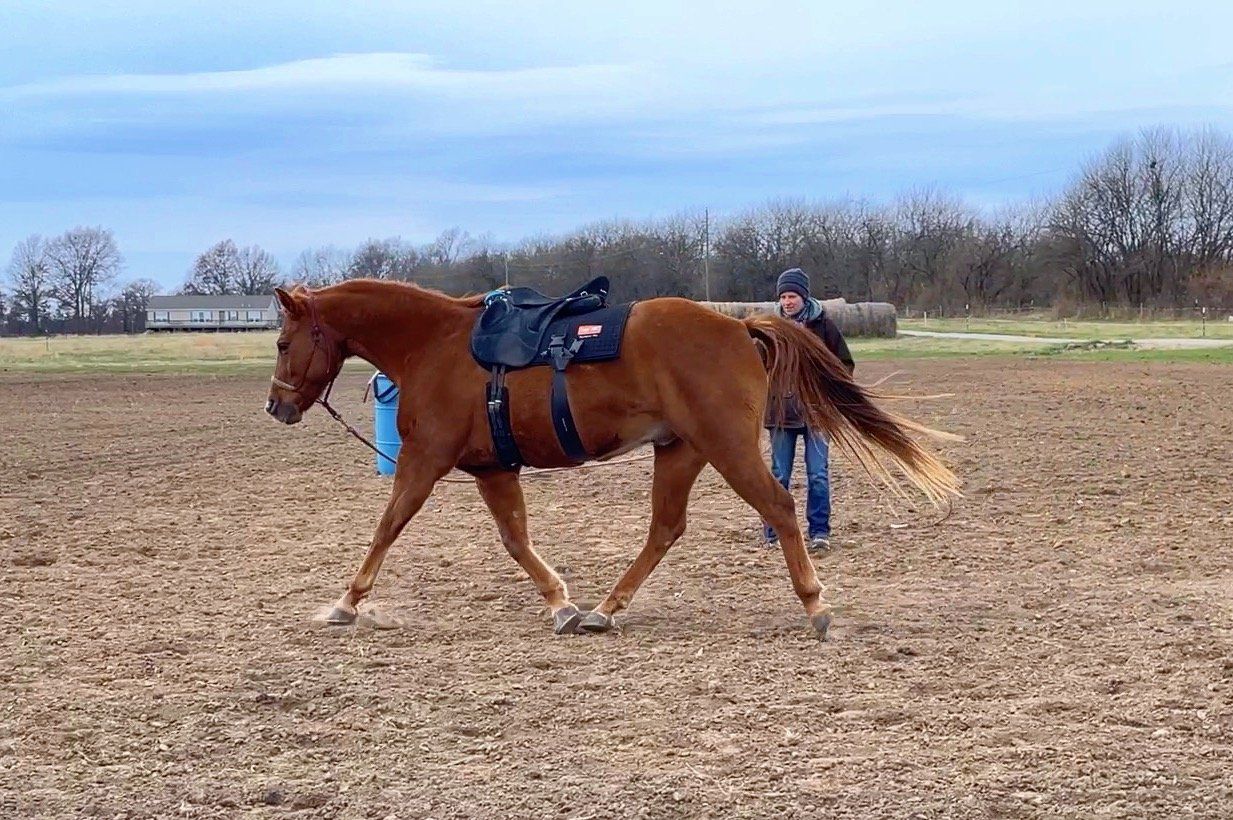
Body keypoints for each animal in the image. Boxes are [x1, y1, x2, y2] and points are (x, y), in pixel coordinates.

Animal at [264, 279, 960, 639]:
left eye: (281, 341)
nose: (276, 405)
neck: (435, 345)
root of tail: (738, 326)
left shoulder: (422, 460)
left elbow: (387, 527)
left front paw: (347, 603)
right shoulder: (493, 469)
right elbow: (516, 539)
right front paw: (562, 604)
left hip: (727, 447)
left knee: (780, 507)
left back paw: (815, 605)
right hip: (680, 451)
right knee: (665, 529)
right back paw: (605, 608)